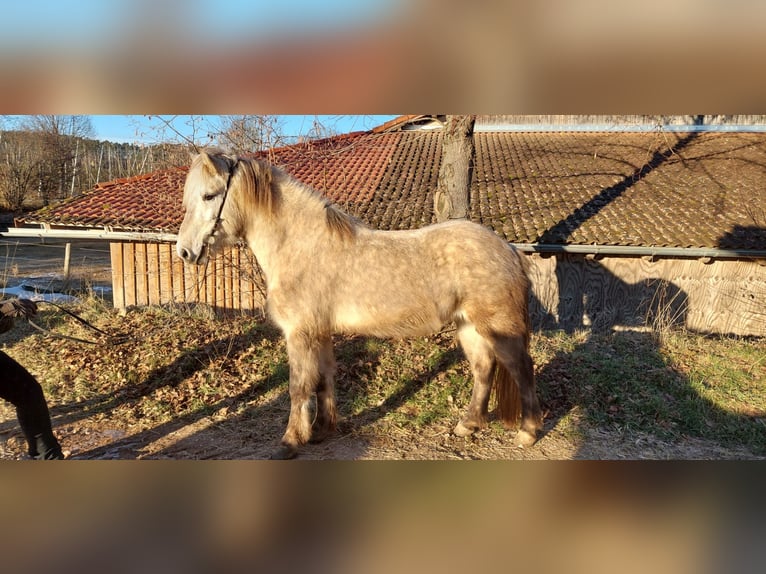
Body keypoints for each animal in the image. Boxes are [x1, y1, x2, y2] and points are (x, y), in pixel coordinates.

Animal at [177, 151, 544, 462]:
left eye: (209, 196)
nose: (184, 251)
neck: (301, 246)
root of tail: (509, 250)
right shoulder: (319, 333)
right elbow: (323, 379)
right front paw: (321, 431)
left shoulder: (300, 334)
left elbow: (298, 386)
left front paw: (290, 442)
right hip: (468, 326)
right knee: (484, 369)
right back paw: (467, 425)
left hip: (499, 327)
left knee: (521, 368)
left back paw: (528, 433)